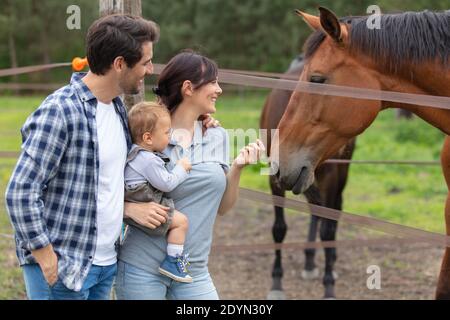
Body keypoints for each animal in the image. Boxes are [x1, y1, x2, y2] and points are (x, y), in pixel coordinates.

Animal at [260, 53, 356, 298]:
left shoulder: (330, 177)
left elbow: (328, 230)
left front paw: (329, 286)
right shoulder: (276, 177)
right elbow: (279, 229)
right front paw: (276, 282)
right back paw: (310, 262)